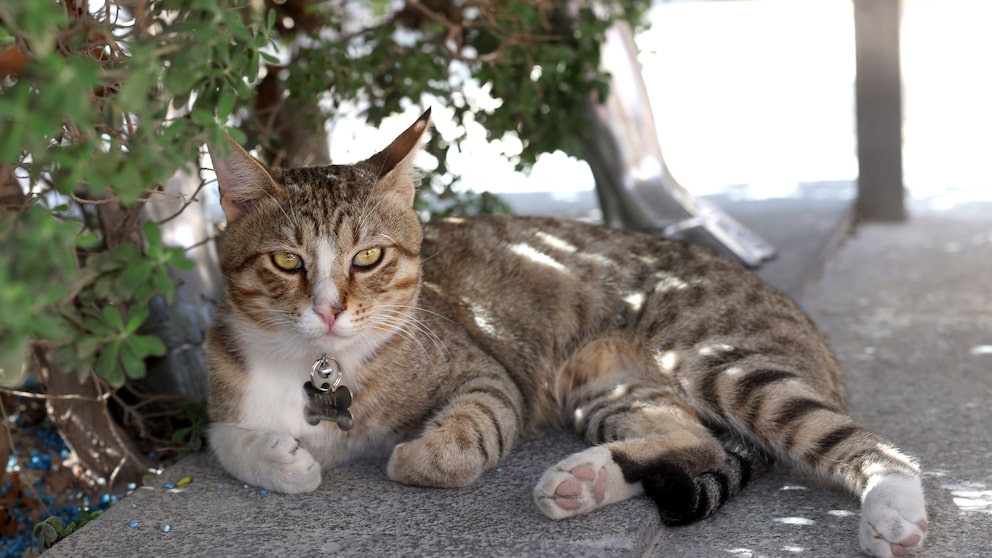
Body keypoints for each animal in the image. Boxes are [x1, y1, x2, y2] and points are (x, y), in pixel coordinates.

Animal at [205, 110, 928, 558]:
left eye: (369, 258)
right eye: (287, 262)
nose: (329, 309)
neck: (320, 366)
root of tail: (811, 331)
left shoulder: (487, 371)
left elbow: (466, 437)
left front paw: (415, 455)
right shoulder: (220, 385)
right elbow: (223, 439)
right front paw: (280, 460)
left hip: (716, 358)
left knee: (873, 447)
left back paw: (893, 510)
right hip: (606, 388)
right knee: (692, 441)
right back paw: (584, 479)